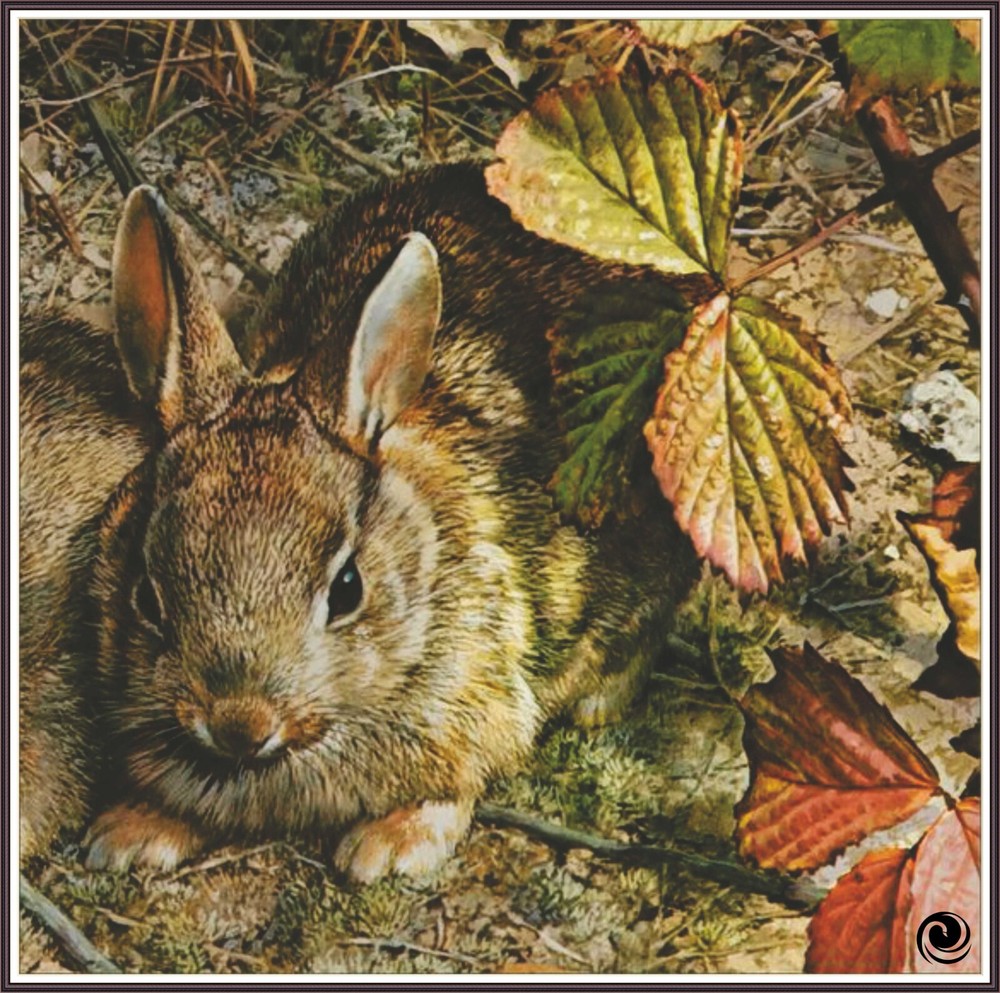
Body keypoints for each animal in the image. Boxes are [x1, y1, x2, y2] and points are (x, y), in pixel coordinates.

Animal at [62, 164, 702, 883]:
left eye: (347, 591)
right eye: (147, 597)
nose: (240, 723)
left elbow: (455, 784)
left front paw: (389, 849)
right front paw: (130, 834)